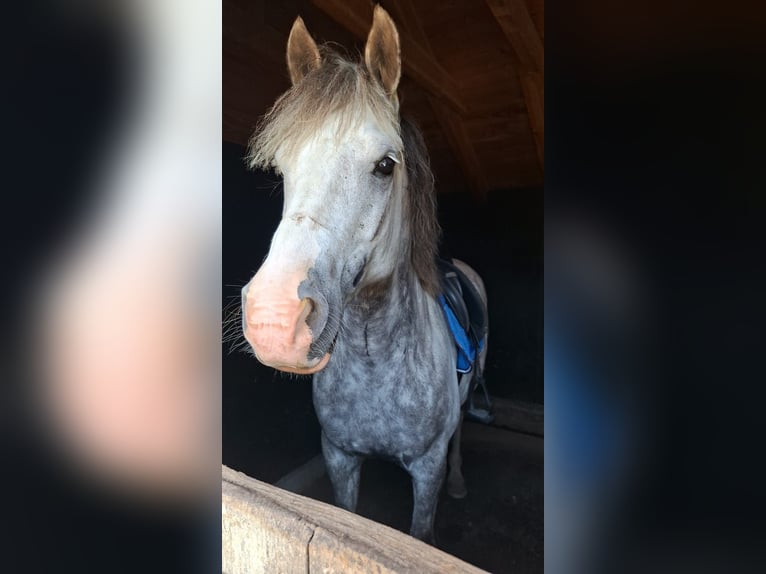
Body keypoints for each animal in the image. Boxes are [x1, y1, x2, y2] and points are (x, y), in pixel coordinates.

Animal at [240, 5, 488, 543]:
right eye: (282, 169)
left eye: (385, 165)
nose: (274, 319)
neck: (376, 356)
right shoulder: (339, 458)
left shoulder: (427, 471)